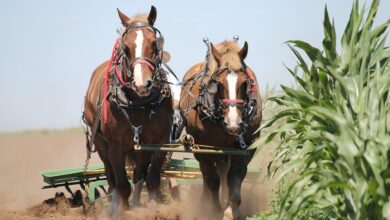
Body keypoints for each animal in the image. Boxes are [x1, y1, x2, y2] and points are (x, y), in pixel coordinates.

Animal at [84, 6, 172, 214]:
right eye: (125, 47)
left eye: (154, 43)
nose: (142, 84)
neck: (138, 103)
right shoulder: (115, 145)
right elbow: (122, 185)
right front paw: (123, 210)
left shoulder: (159, 141)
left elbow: (152, 179)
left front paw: (152, 208)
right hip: (100, 141)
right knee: (112, 178)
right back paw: (114, 206)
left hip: (140, 146)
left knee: (139, 174)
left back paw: (138, 202)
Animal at [180, 39, 262, 218]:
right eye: (218, 83)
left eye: (244, 83)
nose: (233, 124)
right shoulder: (204, 148)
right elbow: (212, 180)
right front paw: (215, 210)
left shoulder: (244, 147)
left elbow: (235, 177)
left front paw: (232, 210)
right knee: (208, 176)